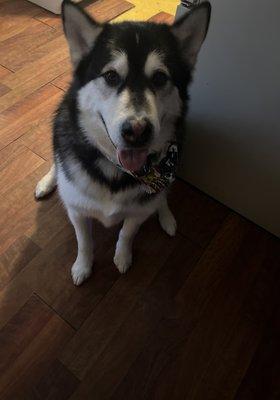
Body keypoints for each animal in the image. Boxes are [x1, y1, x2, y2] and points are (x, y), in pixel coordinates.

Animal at [35, 1, 210, 286]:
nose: (136, 131)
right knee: (56, 164)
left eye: (160, 78)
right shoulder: (77, 211)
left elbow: (127, 232)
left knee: (161, 194)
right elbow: (84, 241)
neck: (116, 170)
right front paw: (83, 266)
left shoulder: (138, 212)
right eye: (110, 76)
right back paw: (48, 182)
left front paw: (122, 256)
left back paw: (166, 215)